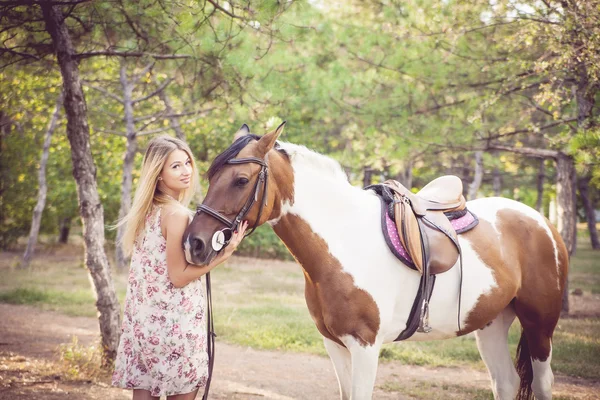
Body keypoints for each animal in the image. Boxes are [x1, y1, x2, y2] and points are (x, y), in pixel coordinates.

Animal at [182, 123, 568, 398]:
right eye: (210, 176)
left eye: (241, 180)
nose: (194, 243)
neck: (343, 240)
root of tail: (542, 221)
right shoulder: (335, 344)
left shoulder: (365, 346)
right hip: (491, 323)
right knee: (505, 382)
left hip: (540, 325)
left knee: (543, 383)